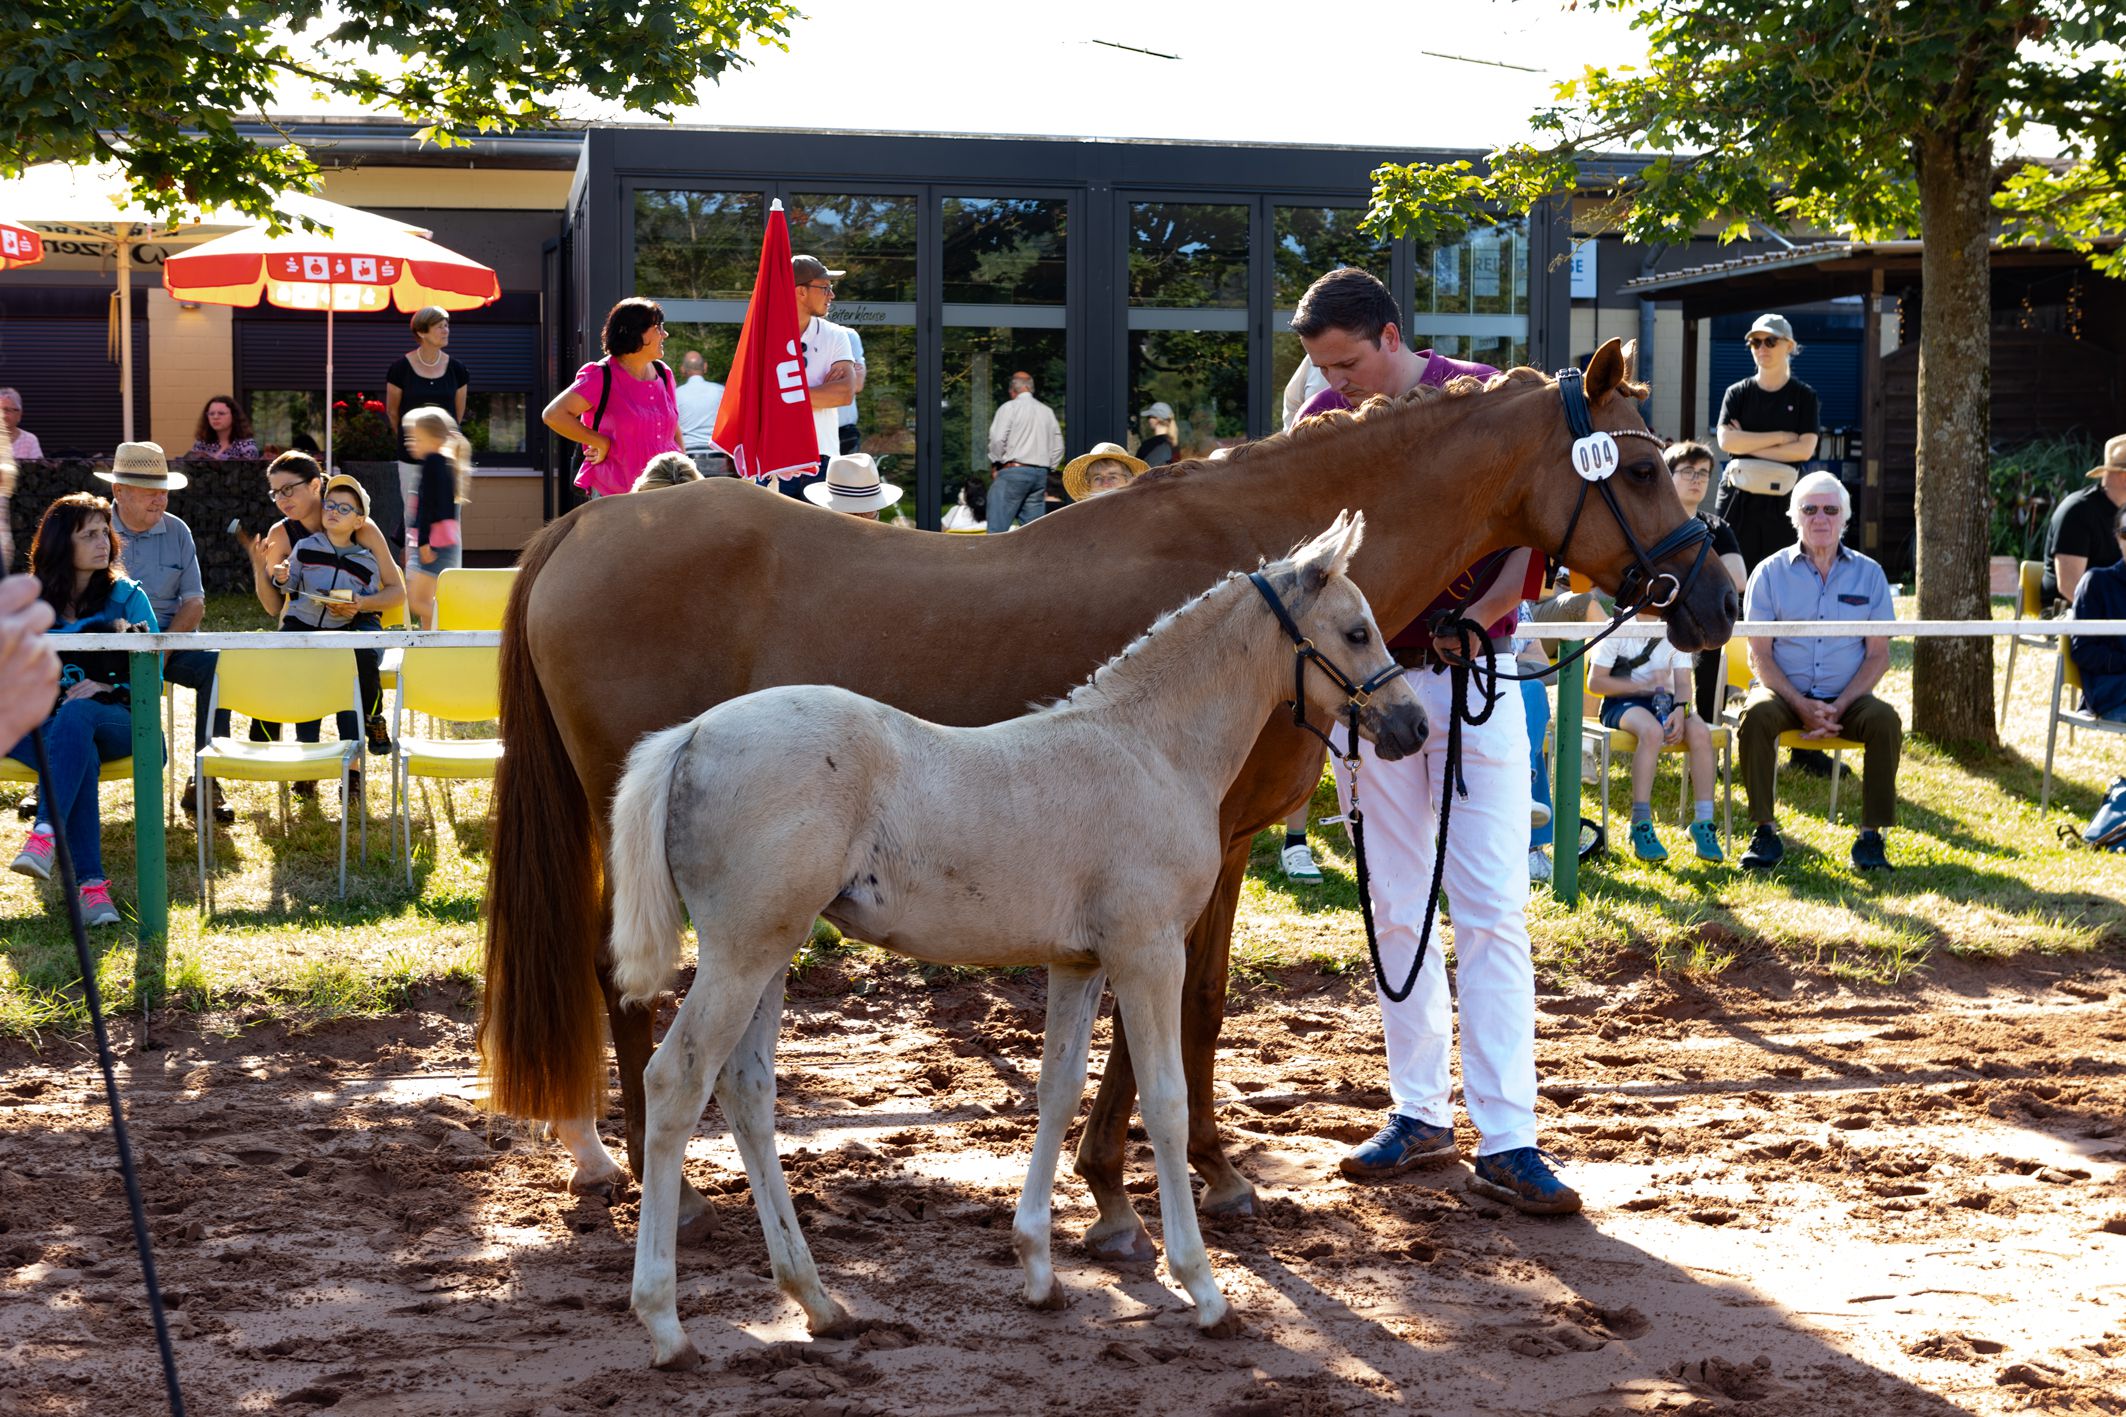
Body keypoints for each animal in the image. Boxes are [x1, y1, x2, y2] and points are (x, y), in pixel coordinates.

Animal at [608, 509, 1420, 1359]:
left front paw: (1038, 1268)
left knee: (746, 1088)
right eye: (1357, 631)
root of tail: (691, 735)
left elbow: (1057, 1090)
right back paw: (665, 1319)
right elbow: (1161, 1100)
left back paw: (818, 1300)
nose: (1414, 725)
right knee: (676, 1081)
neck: (1149, 746)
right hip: (741, 953)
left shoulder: (1079, 962)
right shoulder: (1148, 952)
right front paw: (1202, 1286)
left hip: (771, 951)